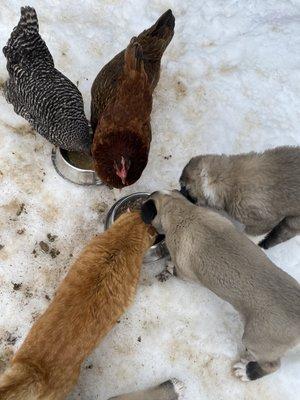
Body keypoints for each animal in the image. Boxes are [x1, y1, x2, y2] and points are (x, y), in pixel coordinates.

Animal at [141, 191, 300, 382]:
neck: (185, 214)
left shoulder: (185, 272)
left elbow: (176, 269)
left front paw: (170, 267)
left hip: (255, 340)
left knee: (271, 366)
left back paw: (246, 372)